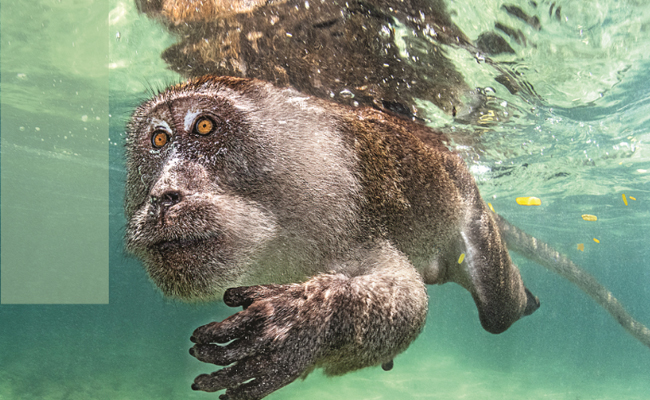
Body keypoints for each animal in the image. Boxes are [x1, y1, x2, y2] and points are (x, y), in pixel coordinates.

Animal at [125, 76, 650, 400]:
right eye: (158, 140)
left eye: (204, 126)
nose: (163, 195)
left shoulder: (345, 211)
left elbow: (406, 297)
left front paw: (304, 323)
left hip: (475, 223)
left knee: (497, 310)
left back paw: (521, 299)